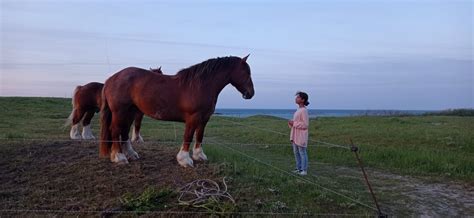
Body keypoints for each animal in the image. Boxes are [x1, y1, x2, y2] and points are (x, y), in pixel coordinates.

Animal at [100, 55, 254, 166]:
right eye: (246, 72)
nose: (250, 93)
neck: (200, 85)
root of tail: (111, 79)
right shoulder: (193, 117)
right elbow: (188, 136)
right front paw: (185, 160)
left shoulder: (204, 118)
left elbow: (200, 135)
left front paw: (199, 156)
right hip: (120, 112)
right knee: (115, 130)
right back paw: (119, 158)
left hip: (130, 112)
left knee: (124, 131)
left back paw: (131, 154)